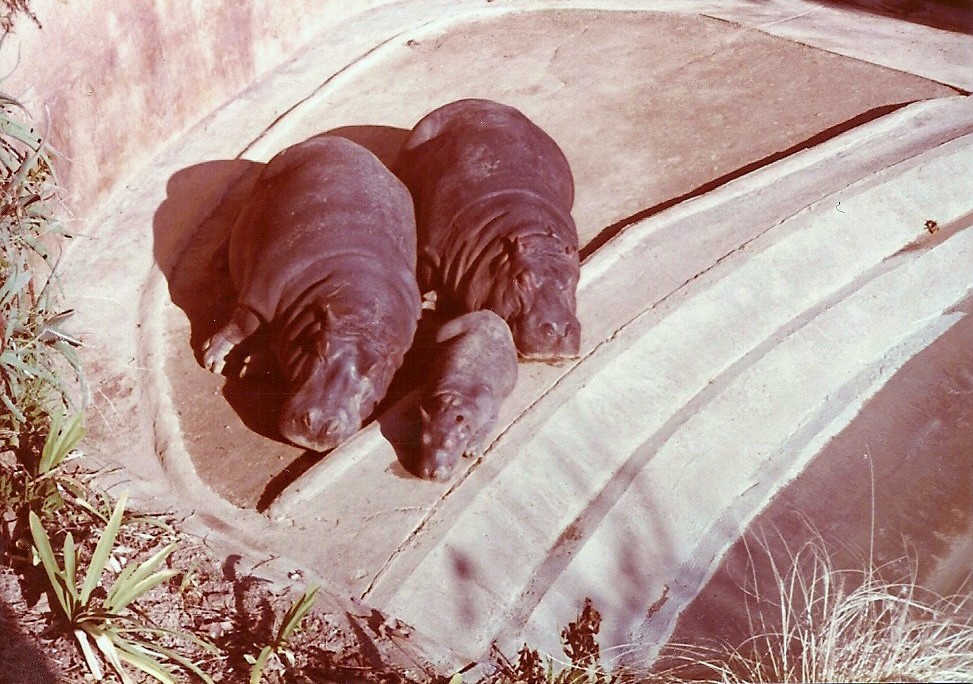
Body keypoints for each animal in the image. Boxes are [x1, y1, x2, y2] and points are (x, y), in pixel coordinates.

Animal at [202, 135, 421, 452]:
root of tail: (332, 139)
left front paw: (246, 364)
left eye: (376, 369)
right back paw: (217, 263)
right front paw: (214, 358)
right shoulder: (262, 293)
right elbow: (243, 323)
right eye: (319, 346)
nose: (319, 424)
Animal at [417, 310, 518, 480]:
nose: (430, 474)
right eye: (423, 439)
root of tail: (489, 312)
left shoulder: (491, 415)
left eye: (449, 443)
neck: (456, 398)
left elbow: (486, 428)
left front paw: (471, 451)